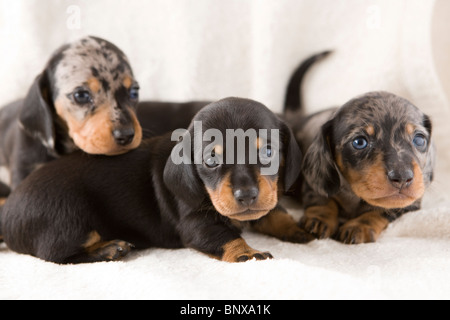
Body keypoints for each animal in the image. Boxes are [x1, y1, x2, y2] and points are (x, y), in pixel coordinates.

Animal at [1, 98, 312, 264]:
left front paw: (296, 228)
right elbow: (226, 236)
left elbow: (274, 212)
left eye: (268, 152)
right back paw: (108, 248)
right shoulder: (195, 224)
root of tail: (7, 211)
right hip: (69, 222)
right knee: (58, 256)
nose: (246, 195)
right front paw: (247, 253)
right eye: (211, 159)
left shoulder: (263, 201)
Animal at [284, 65, 436, 244]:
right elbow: (321, 198)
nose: (402, 177)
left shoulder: (411, 202)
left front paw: (359, 226)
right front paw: (320, 218)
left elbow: (381, 210)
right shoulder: (315, 180)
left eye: (419, 139)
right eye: (359, 142)